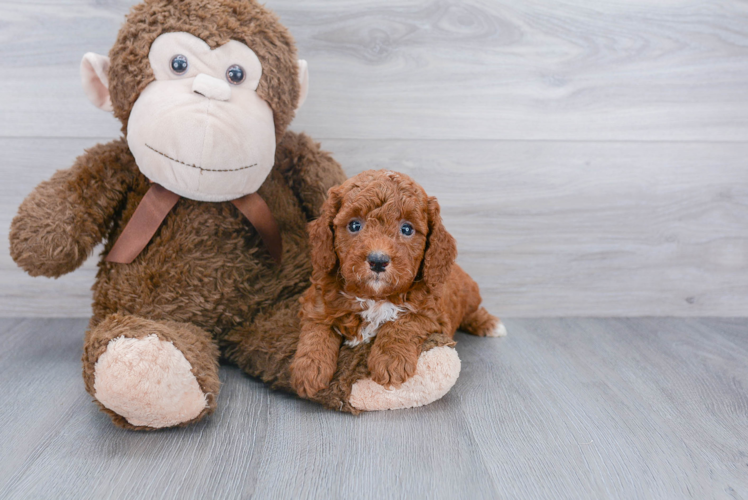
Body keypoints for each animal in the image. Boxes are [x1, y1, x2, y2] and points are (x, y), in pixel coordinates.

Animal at [290, 170, 506, 396]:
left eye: (407, 229)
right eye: (354, 225)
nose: (378, 260)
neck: (375, 297)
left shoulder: (433, 314)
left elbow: (404, 322)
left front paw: (390, 360)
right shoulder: (317, 300)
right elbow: (317, 327)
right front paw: (309, 368)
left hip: (470, 294)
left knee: (473, 312)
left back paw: (491, 324)